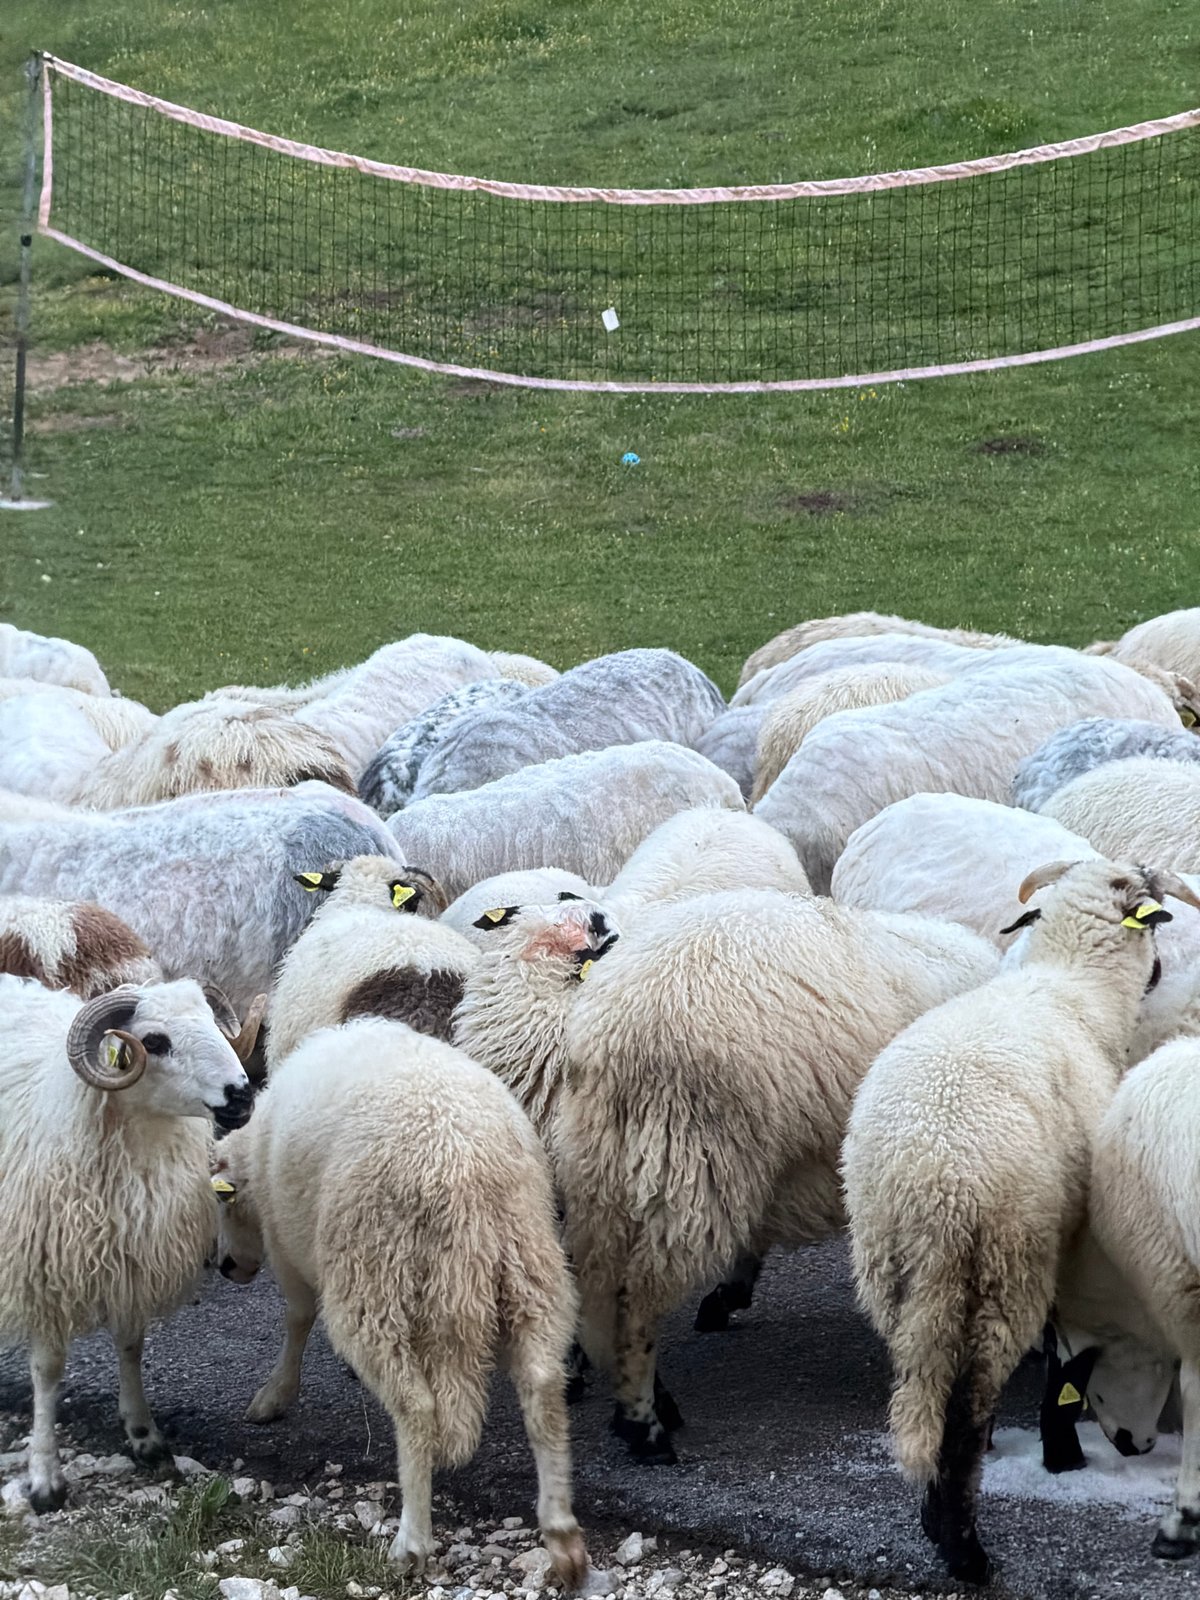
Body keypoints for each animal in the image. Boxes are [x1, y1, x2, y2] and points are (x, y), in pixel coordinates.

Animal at [0, 975, 261, 1511]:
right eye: (155, 1042)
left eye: (211, 1020)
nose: (242, 1096)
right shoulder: (44, 1272)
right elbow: (47, 1371)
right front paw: (44, 1476)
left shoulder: (132, 1261)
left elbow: (130, 1347)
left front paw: (145, 1437)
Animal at [212, 1018, 590, 1585]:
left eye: (222, 1200)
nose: (228, 1268)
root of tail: (462, 1171)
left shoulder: (286, 1247)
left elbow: (297, 1318)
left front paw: (274, 1395)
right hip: (530, 1263)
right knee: (542, 1386)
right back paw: (562, 1535)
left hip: (374, 1278)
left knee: (416, 1406)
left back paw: (411, 1541)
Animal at [456, 892, 996, 1460]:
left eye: (593, 922)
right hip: (696, 1159)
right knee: (634, 1304)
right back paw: (646, 1420)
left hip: (688, 1163)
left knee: (632, 1302)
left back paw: (649, 1411)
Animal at [842, 859, 1200, 1583]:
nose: (1157, 974)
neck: (1071, 984)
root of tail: (932, 1182)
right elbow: (1066, 1357)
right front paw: (1061, 1450)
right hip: (1004, 1266)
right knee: (966, 1404)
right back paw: (965, 1549)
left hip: (896, 1278)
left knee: (923, 1393)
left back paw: (936, 1515)